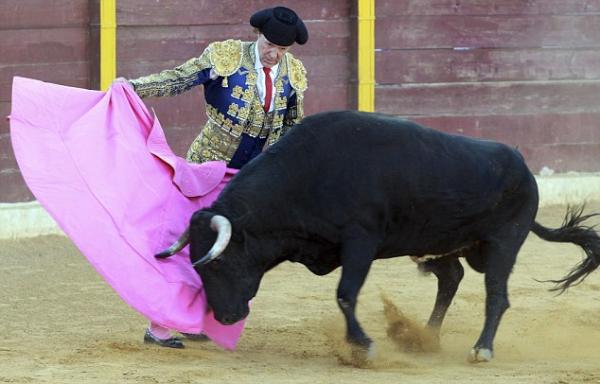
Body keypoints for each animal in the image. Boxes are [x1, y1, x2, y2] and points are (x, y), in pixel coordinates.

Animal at [156, 109, 600, 362]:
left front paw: (362, 346)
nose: (224, 317)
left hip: (504, 243)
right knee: (451, 278)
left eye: (220, 264)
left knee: (496, 294)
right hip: (439, 243)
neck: (308, 175)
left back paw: (481, 349)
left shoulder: (360, 240)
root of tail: (524, 168)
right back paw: (424, 337)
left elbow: (345, 293)